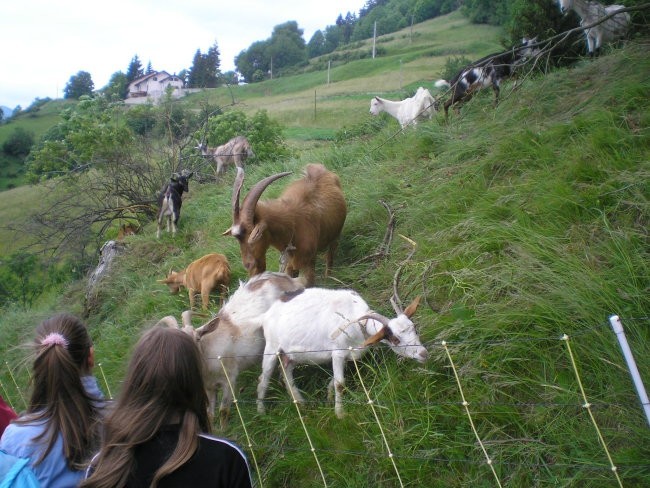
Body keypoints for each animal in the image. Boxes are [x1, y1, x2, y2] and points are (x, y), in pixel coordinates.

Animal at [256, 288, 428, 418]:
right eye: (395, 339)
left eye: (414, 328)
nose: (423, 353)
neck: (356, 321)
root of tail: (266, 315)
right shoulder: (337, 352)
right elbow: (340, 384)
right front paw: (340, 414)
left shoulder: (346, 355)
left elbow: (334, 381)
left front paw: (329, 397)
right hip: (272, 347)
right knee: (263, 378)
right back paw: (261, 411)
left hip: (292, 355)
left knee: (285, 372)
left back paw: (300, 403)